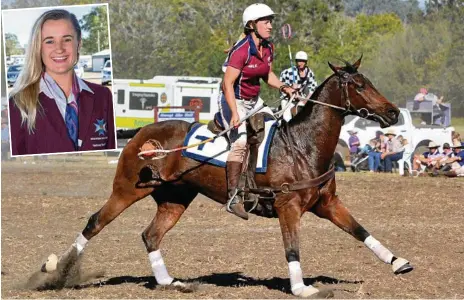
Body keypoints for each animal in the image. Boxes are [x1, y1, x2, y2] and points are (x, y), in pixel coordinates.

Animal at [48, 56, 414, 298]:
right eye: (359, 85)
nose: (393, 112)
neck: (302, 145)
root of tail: (140, 132)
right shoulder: (288, 206)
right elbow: (292, 247)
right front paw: (301, 287)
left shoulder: (327, 202)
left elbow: (360, 230)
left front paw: (398, 262)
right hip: (126, 189)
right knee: (95, 222)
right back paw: (55, 271)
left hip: (175, 198)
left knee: (150, 235)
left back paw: (171, 282)